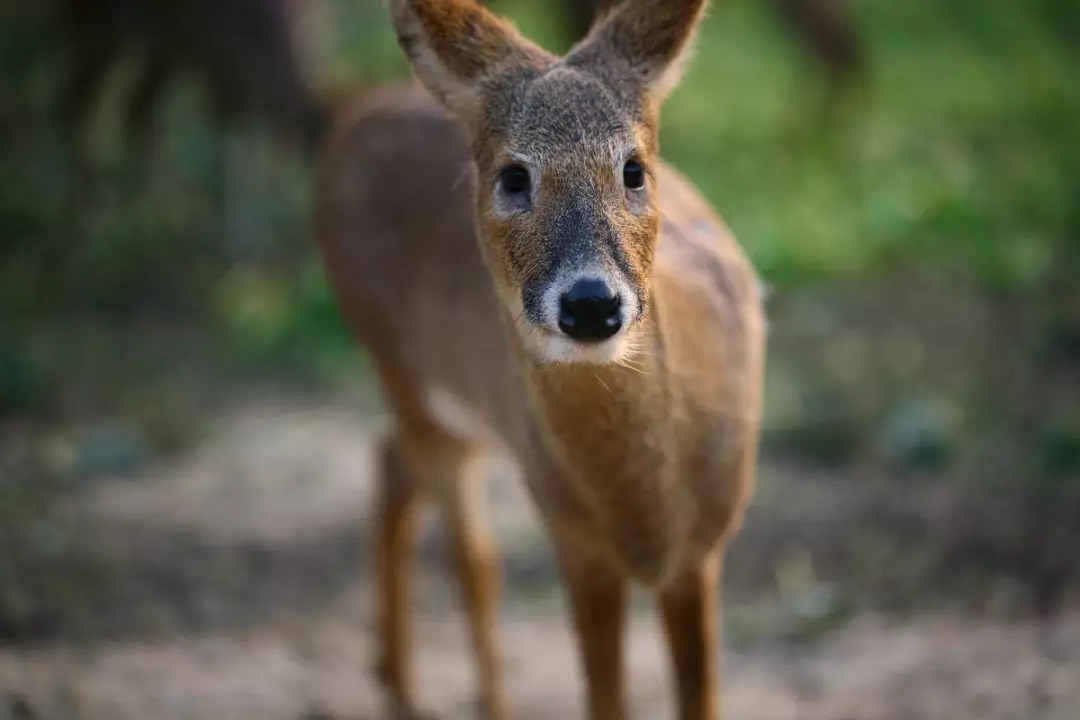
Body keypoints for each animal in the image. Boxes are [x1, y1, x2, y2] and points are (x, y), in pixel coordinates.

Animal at [315, 0, 768, 716]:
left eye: (633, 168)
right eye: (514, 175)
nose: (590, 303)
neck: (646, 514)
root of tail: (355, 119)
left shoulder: (704, 548)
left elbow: (699, 699)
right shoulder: (573, 537)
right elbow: (603, 697)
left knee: (393, 465)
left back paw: (396, 681)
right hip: (396, 366)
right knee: (471, 555)